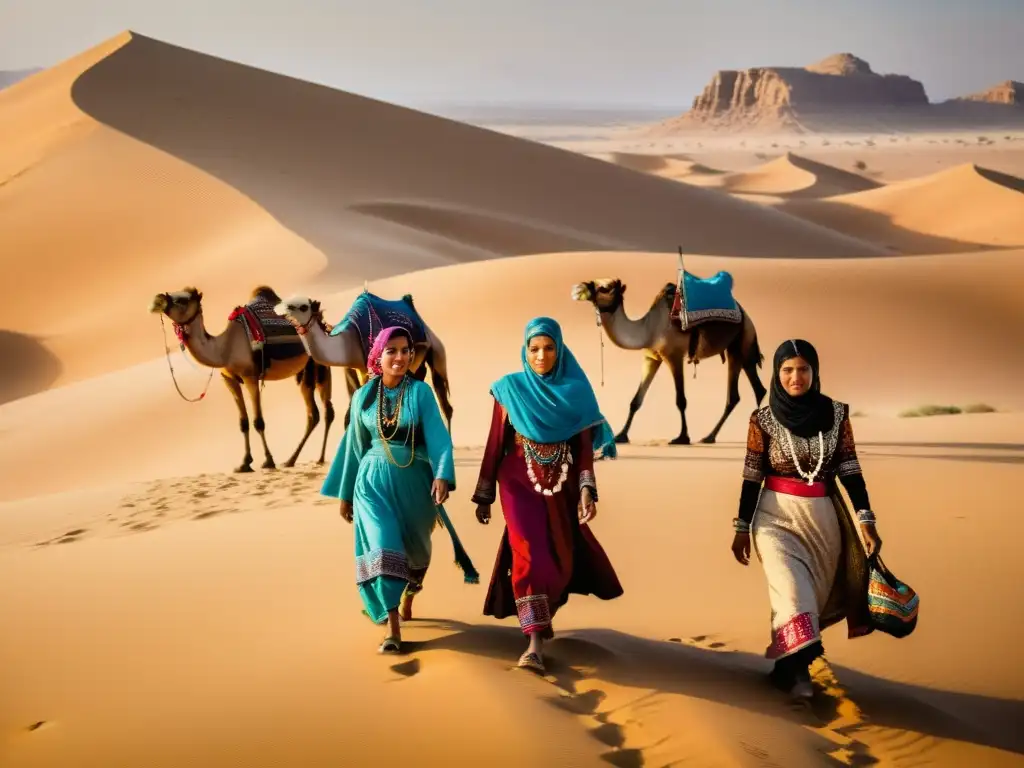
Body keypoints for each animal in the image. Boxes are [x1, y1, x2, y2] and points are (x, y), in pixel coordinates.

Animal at [274, 290, 450, 434]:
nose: (278, 310)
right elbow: (350, 416)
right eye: (285, 301)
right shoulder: (354, 370)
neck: (348, 343)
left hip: (436, 353)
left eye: (303, 307)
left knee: (445, 404)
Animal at [573, 274, 765, 444]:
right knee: (755, 390)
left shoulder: (674, 356)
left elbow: (681, 400)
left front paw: (682, 438)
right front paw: (621, 436)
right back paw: (715, 436)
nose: (579, 288)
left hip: (740, 343)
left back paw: (712, 436)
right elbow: (636, 401)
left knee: (737, 394)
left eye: (605, 288)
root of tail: (745, 315)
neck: (648, 329)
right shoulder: (651, 357)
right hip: (742, 349)